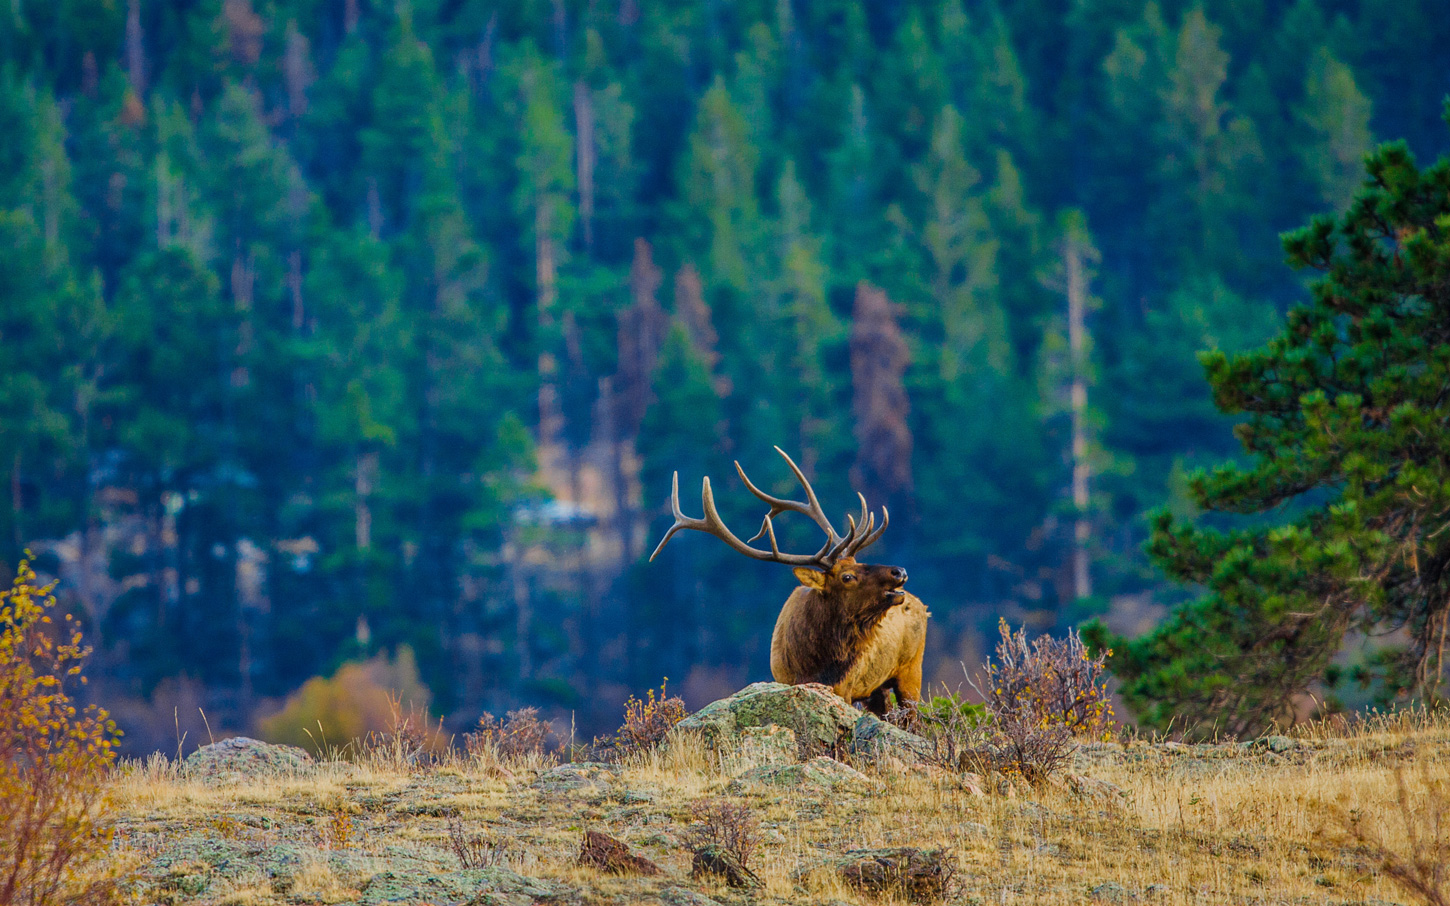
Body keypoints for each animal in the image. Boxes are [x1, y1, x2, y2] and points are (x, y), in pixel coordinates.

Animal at [649, 447, 928, 716]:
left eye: (859, 562)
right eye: (847, 576)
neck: (815, 664)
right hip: (880, 686)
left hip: (911, 671)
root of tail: (923, 606)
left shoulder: (846, 687)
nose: (899, 571)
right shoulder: (786, 679)